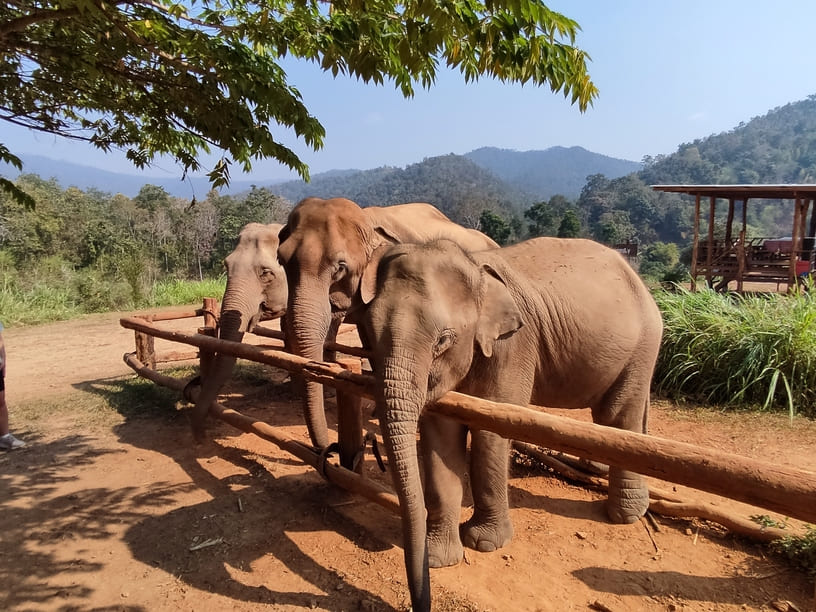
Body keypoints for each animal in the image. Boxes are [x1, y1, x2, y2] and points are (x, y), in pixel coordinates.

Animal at [359, 237, 664, 612]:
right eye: (367, 334)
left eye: (443, 340)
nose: (422, 600)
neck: (475, 267)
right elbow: (440, 435)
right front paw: (439, 558)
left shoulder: (512, 347)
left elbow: (491, 432)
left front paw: (485, 543)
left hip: (642, 346)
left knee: (620, 416)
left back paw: (625, 515)